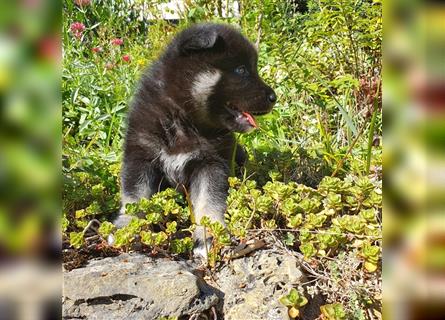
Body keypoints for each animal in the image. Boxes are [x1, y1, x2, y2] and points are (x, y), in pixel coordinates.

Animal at [114, 22, 274, 256]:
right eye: (241, 70)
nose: (274, 97)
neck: (182, 117)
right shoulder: (141, 156)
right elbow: (134, 197)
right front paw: (127, 226)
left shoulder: (211, 164)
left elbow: (208, 202)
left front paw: (208, 235)